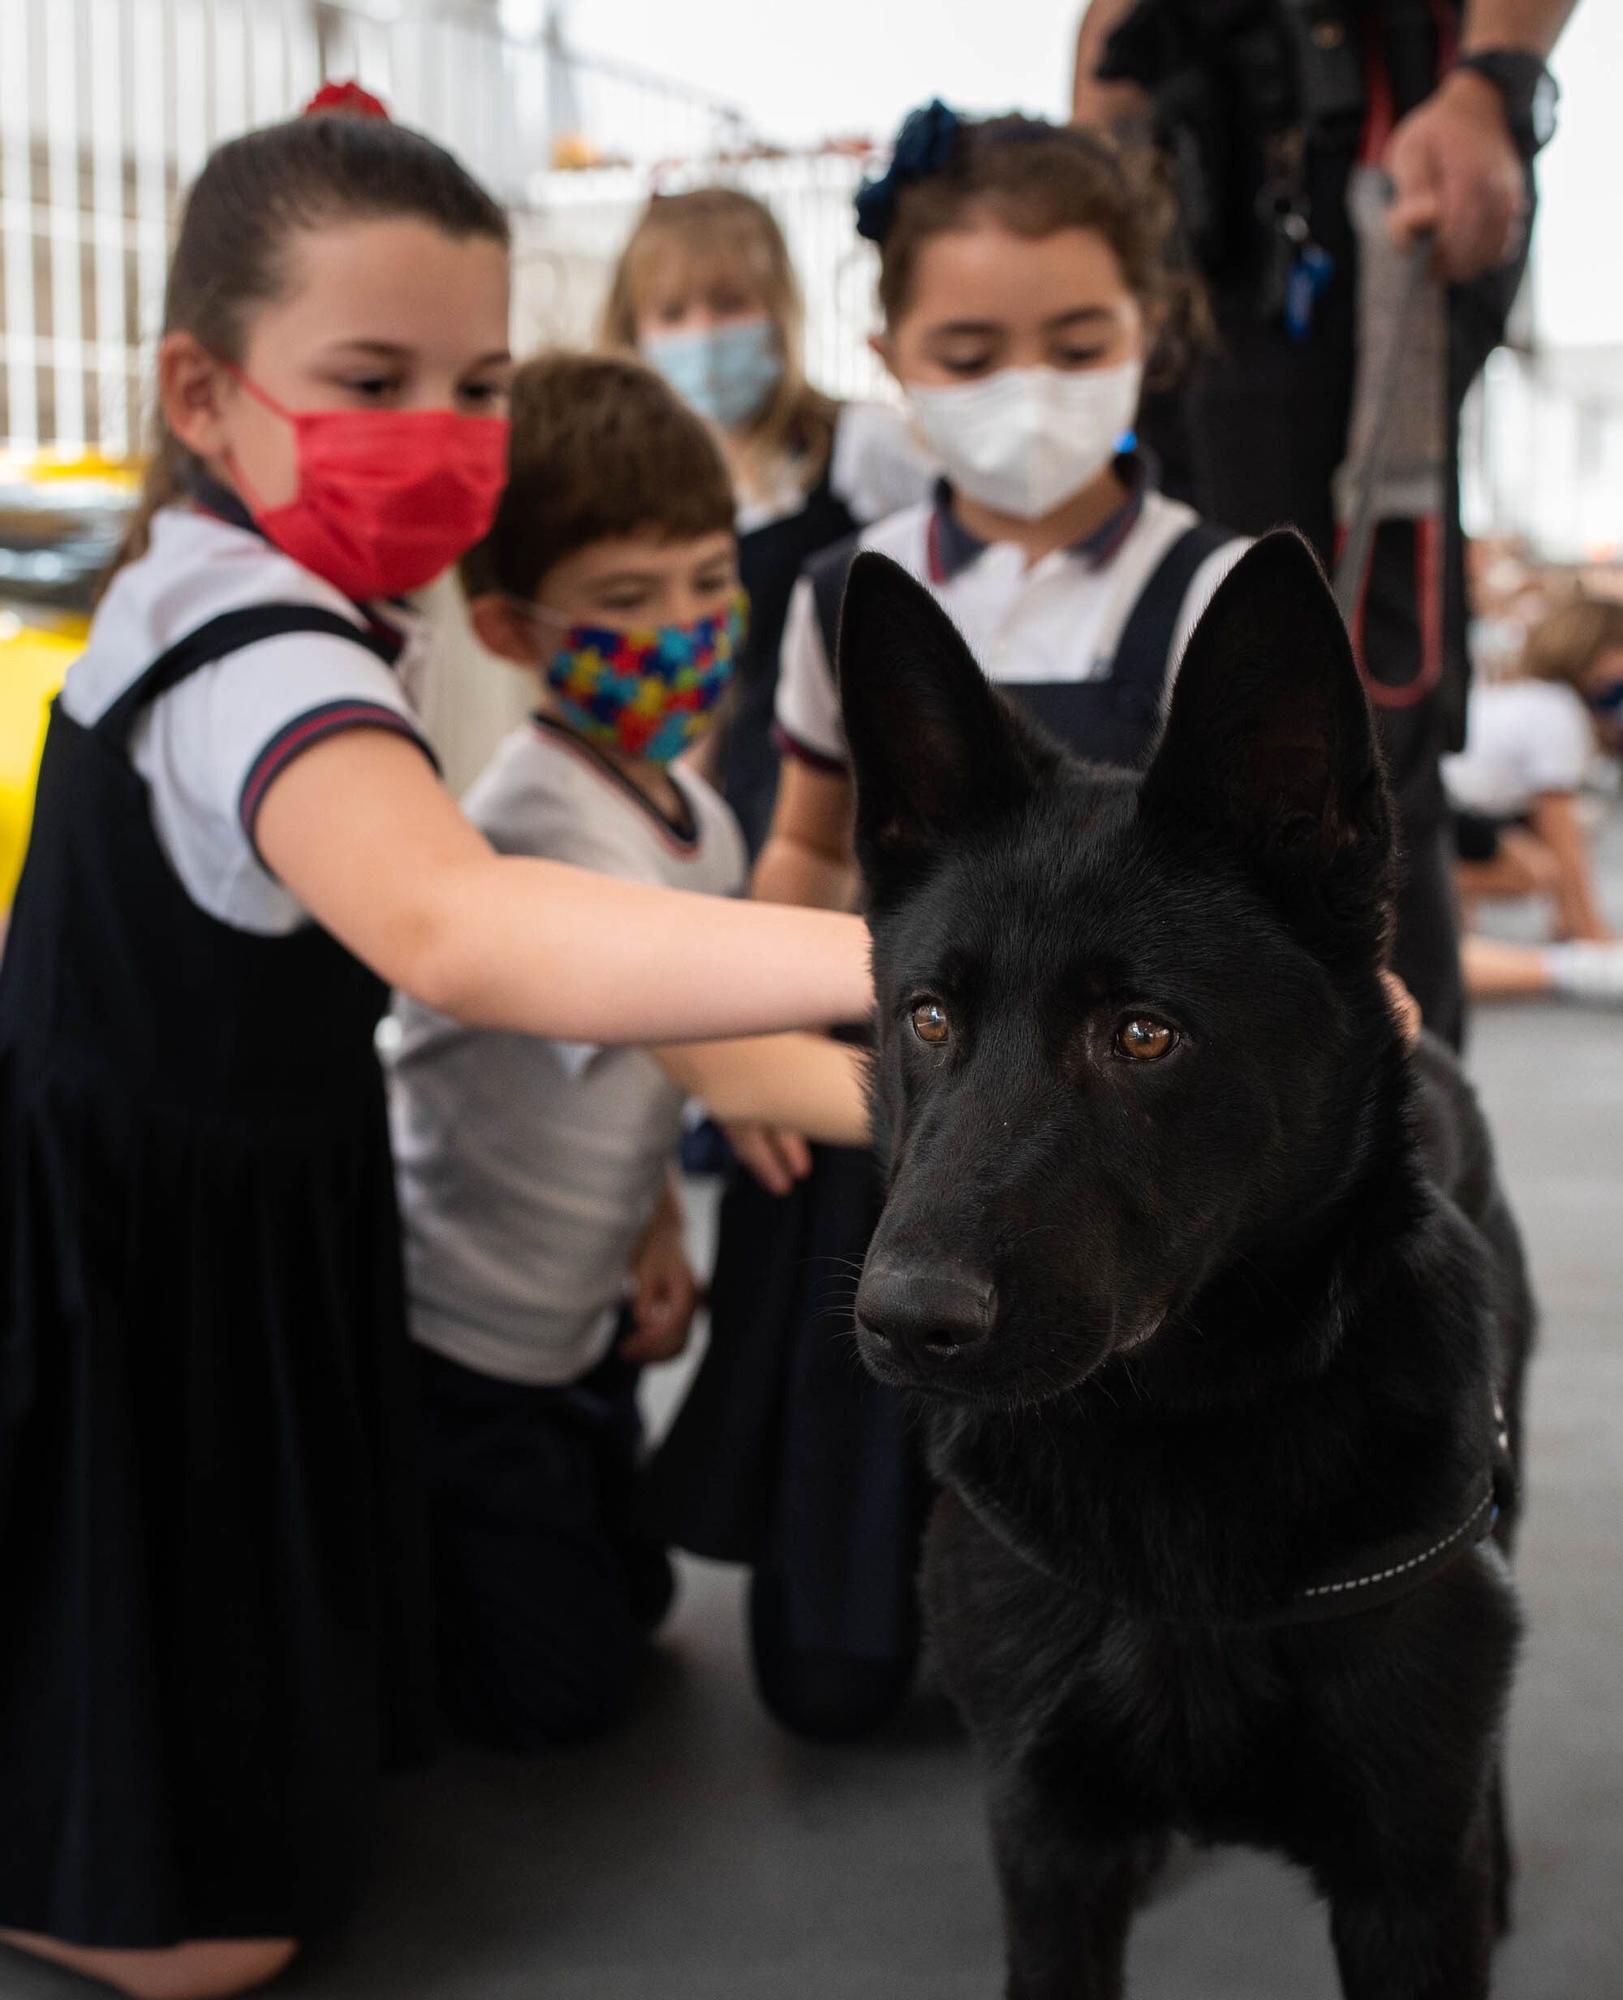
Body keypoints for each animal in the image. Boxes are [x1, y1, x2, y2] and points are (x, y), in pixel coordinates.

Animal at [835, 532, 1535, 2000]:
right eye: (926, 1017)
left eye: (1143, 1035)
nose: (903, 1321)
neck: (1178, 1439)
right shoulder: (1045, 1847)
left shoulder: (1401, 1885)